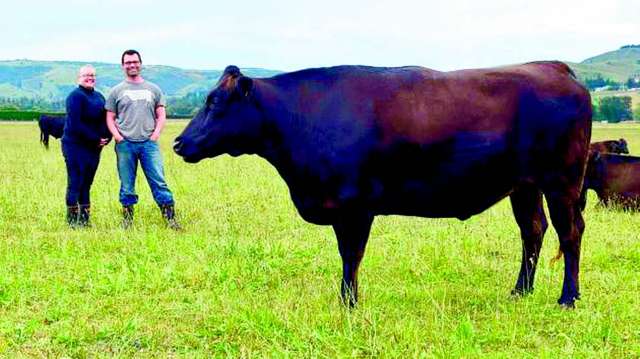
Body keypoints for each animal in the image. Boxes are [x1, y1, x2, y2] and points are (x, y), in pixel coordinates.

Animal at [172, 62, 592, 310]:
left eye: (215, 102)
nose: (178, 142)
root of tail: (553, 67)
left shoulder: (355, 207)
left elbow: (350, 255)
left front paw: (348, 302)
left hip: (562, 183)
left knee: (570, 233)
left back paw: (568, 297)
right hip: (525, 187)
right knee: (533, 231)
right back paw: (520, 290)